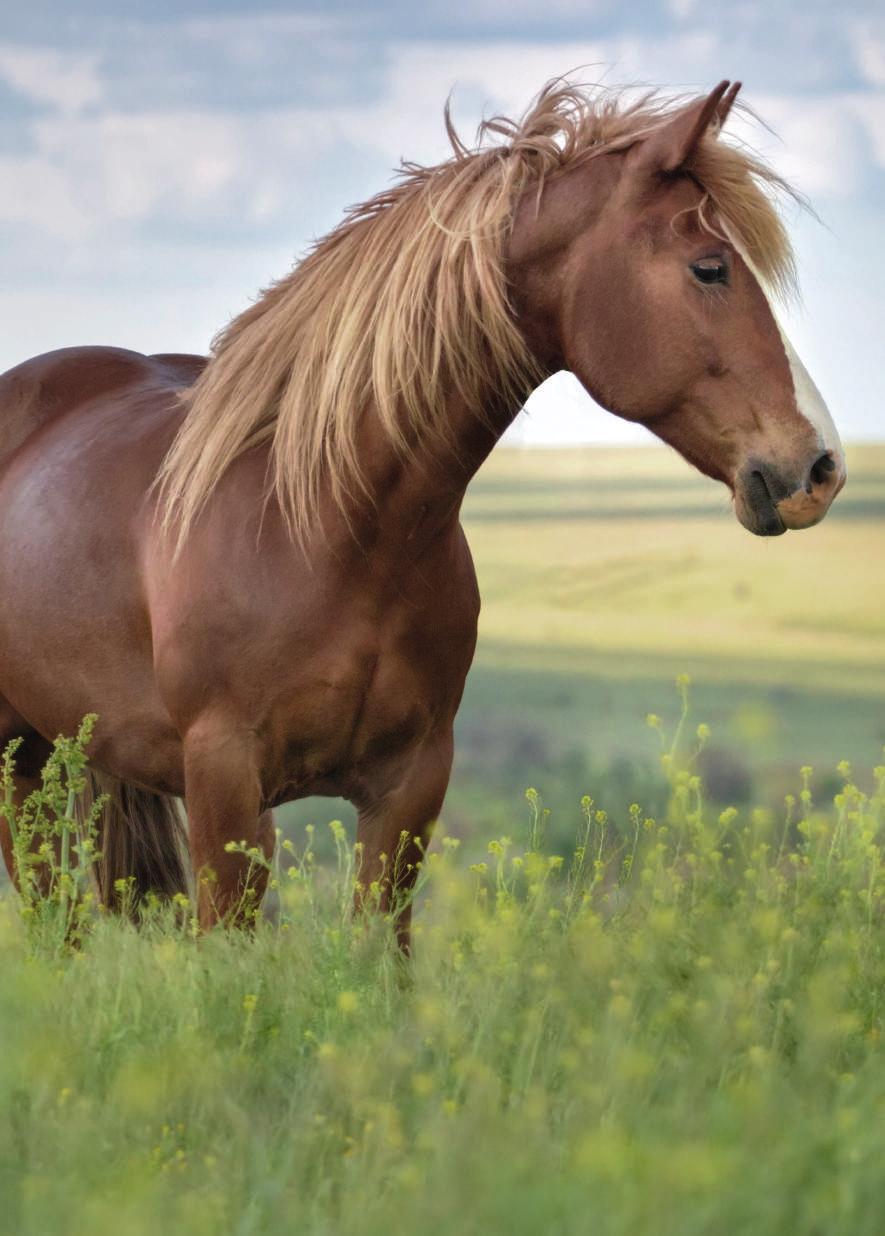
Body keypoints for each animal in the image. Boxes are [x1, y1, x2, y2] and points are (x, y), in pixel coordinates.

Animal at [0, 82, 845, 939]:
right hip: (21, 765)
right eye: (709, 268)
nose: (819, 467)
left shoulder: (409, 786)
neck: (330, 531)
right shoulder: (223, 781)